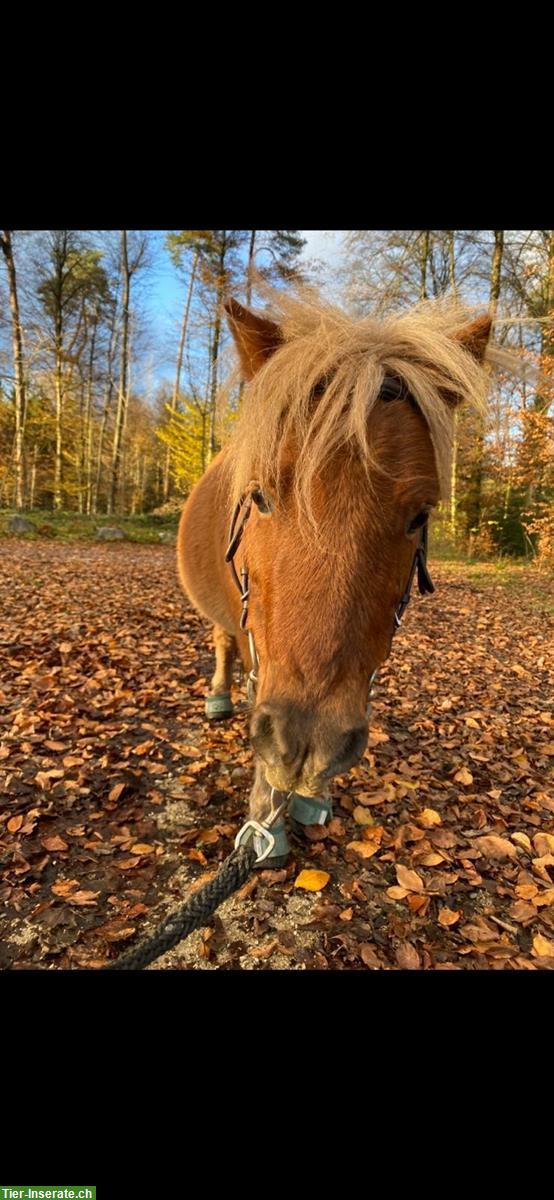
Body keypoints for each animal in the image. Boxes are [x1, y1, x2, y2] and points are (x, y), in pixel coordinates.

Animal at [178, 285, 501, 859]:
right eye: (259, 496)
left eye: (421, 515)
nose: (311, 744)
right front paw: (266, 818)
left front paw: (305, 796)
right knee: (223, 642)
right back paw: (221, 695)